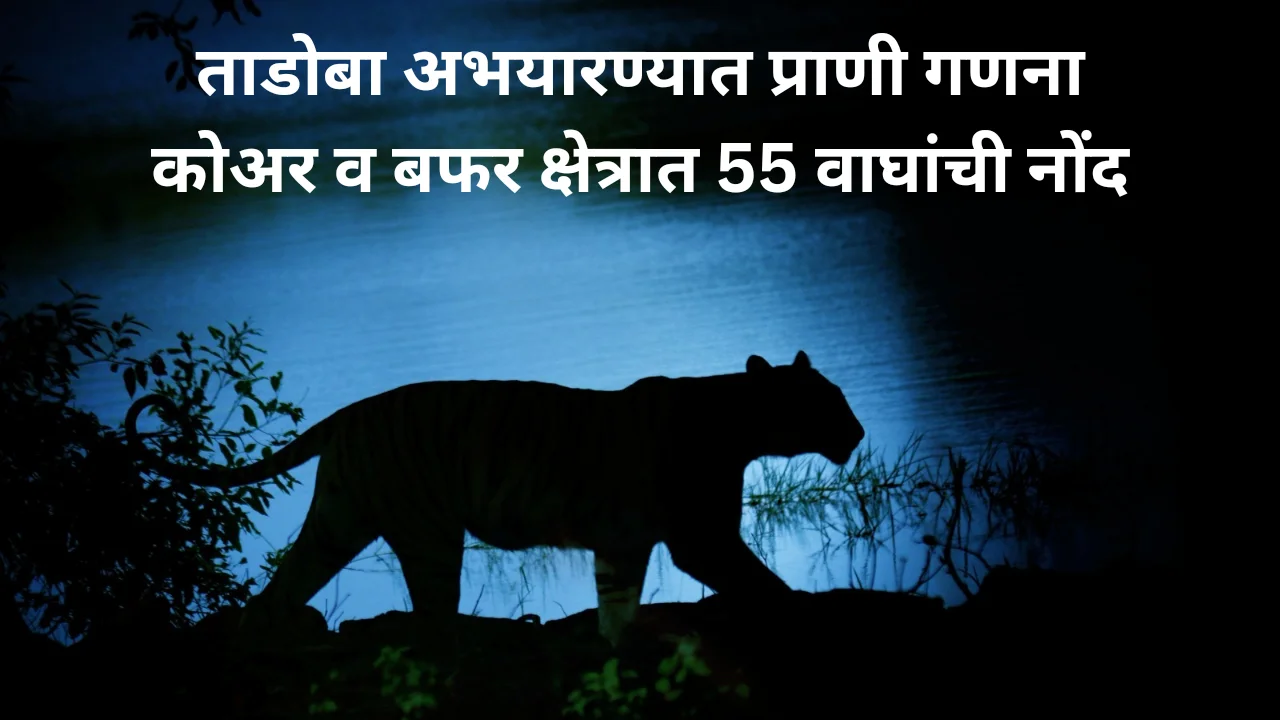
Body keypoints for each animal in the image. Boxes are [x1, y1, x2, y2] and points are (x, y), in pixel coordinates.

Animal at [124, 350, 865, 647]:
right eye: (829, 400)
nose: (858, 432)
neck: (741, 424)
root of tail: (348, 413)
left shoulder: (626, 541)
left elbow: (617, 602)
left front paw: (621, 643)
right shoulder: (699, 535)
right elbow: (754, 576)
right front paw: (800, 610)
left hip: (340, 518)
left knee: (274, 598)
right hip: (429, 534)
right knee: (433, 618)